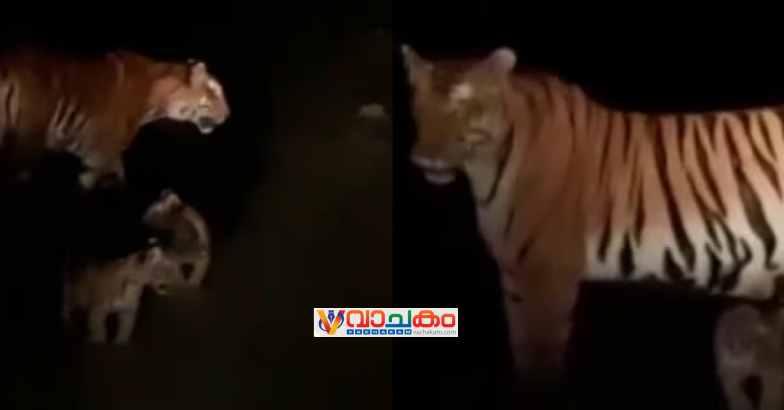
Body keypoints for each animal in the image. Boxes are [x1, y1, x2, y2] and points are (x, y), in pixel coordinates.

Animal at [401, 44, 784, 399]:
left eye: (463, 106)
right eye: (419, 104)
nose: (423, 159)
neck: (486, 168)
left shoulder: (546, 278)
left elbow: (541, 363)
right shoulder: (514, 275)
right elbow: (522, 353)